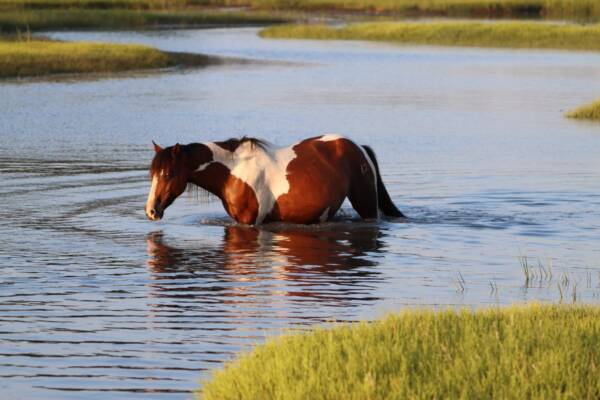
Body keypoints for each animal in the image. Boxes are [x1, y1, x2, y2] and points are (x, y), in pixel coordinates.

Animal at [147, 135, 406, 225]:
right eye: (152, 174)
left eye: (169, 173)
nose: (151, 210)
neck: (233, 171)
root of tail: (358, 147)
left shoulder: (251, 223)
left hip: (367, 207)